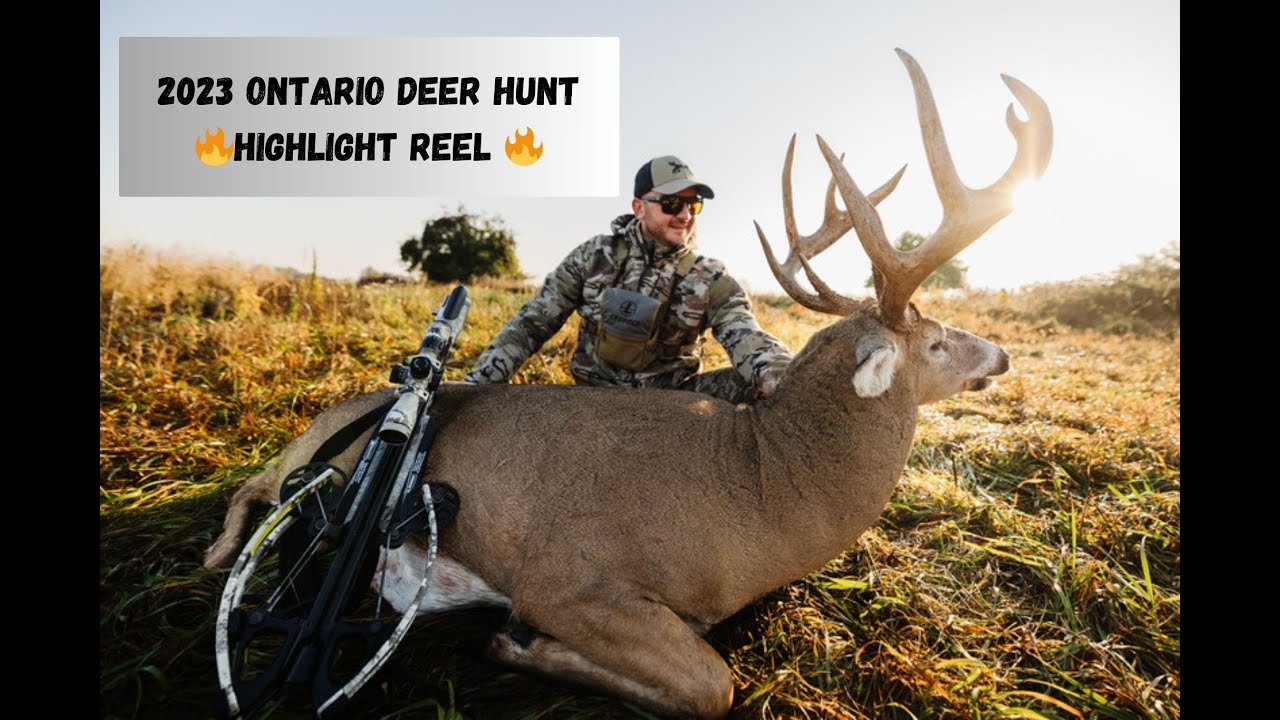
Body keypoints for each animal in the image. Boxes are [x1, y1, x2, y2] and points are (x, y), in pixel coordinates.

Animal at [203, 48, 1051, 718]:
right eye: (936, 341)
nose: (1001, 356)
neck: (764, 496)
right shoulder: (567, 576)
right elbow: (713, 686)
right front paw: (516, 646)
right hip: (319, 452)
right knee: (253, 484)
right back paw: (219, 554)